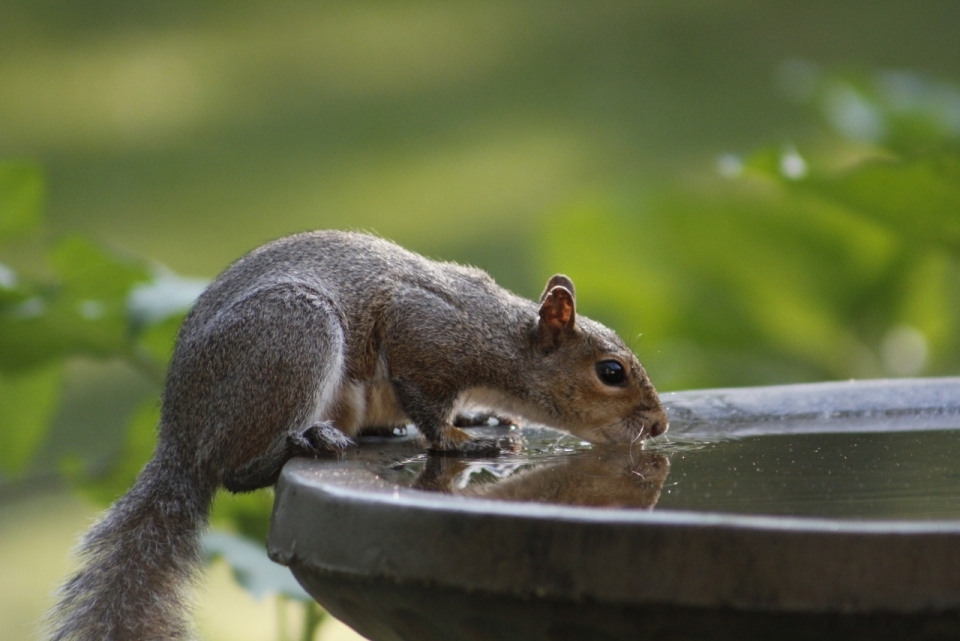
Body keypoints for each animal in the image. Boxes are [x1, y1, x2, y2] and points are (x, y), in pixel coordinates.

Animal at [45, 231, 664, 640]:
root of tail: (179, 436)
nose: (658, 425)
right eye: (612, 372)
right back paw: (304, 443)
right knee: (236, 470)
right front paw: (463, 440)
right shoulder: (422, 336)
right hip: (293, 337)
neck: (502, 340)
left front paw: (480, 420)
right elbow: (430, 413)